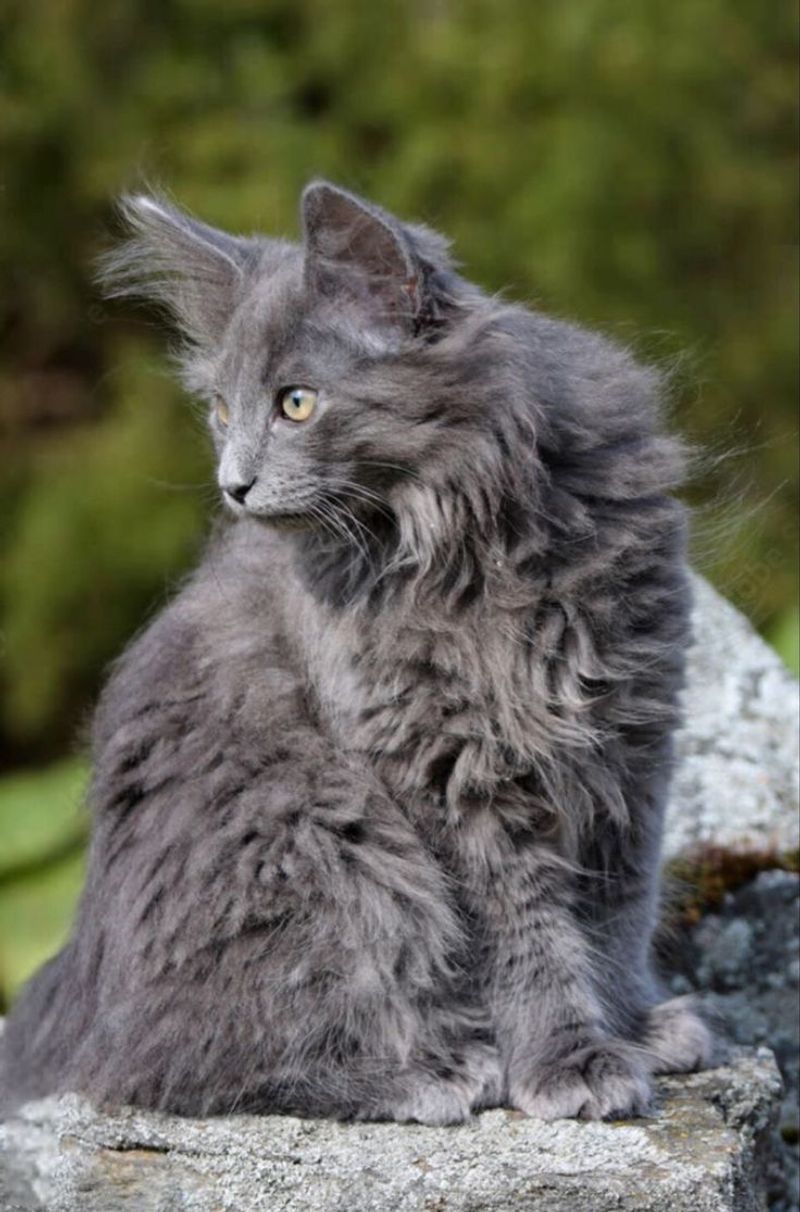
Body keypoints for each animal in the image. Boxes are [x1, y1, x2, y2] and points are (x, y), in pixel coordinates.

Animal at [0, 181, 712, 1124]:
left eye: (296, 403)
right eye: (221, 410)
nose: (233, 483)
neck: (473, 540)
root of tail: (78, 986)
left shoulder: (631, 735)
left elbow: (616, 909)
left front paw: (634, 1028)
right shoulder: (439, 766)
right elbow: (524, 926)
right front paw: (569, 1060)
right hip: (327, 850)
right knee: (183, 1065)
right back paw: (436, 1073)